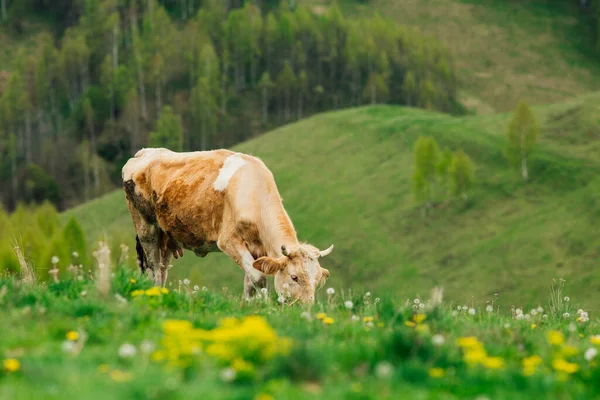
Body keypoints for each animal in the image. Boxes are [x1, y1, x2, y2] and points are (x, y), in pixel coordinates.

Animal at [120, 147, 332, 304]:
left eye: (316, 280)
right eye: (294, 277)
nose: (306, 309)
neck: (254, 192)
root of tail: (143, 153)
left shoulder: (258, 249)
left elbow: (250, 282)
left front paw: (250, 307)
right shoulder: (229, 241)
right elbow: (259, 278)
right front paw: (265, 306)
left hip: (167, 236)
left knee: (163, 268)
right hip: (146, 228)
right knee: (154, 267)